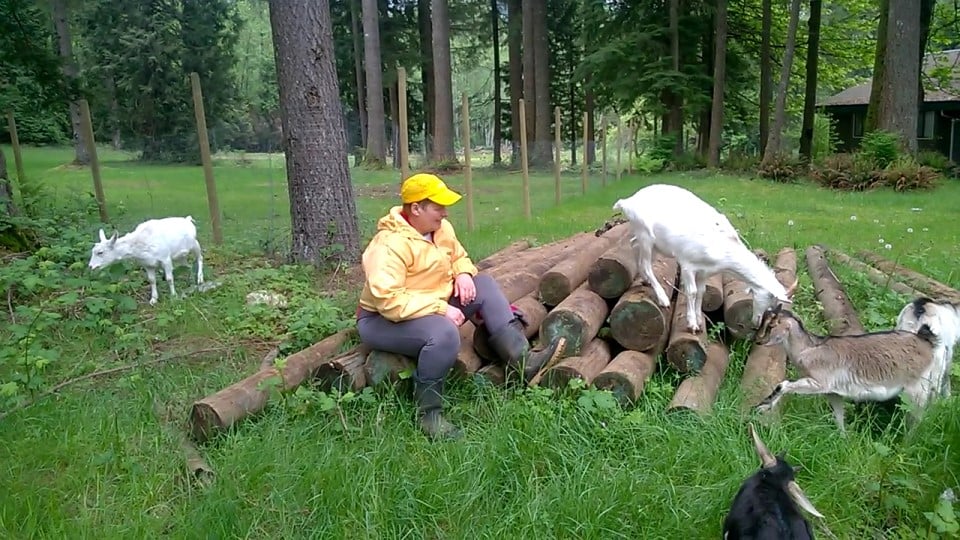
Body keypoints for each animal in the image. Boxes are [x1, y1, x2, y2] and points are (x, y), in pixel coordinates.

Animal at [616, 184, 796, 332]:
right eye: (770, 304)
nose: (756, 324)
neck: (724, 252)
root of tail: (627, 202)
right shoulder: (688, 265)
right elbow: (692, 291)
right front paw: (692, 324)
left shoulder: (705, 272)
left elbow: (702, 292)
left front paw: (699, 320)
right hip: (646, 235)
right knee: (646, 264)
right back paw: (662, 298)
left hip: (650, 241)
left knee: (634, 246)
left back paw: (645, 280)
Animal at [752, 306, 936, 432]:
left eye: (772, 325)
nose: (758, 340)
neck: (809, 349)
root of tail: (926, 342)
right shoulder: (833, 392)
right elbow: (839, 416)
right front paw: (843, 438)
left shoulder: (820, 383)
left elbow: (784, 384)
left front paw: (762, 407)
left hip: (917, 390)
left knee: (916, 419)